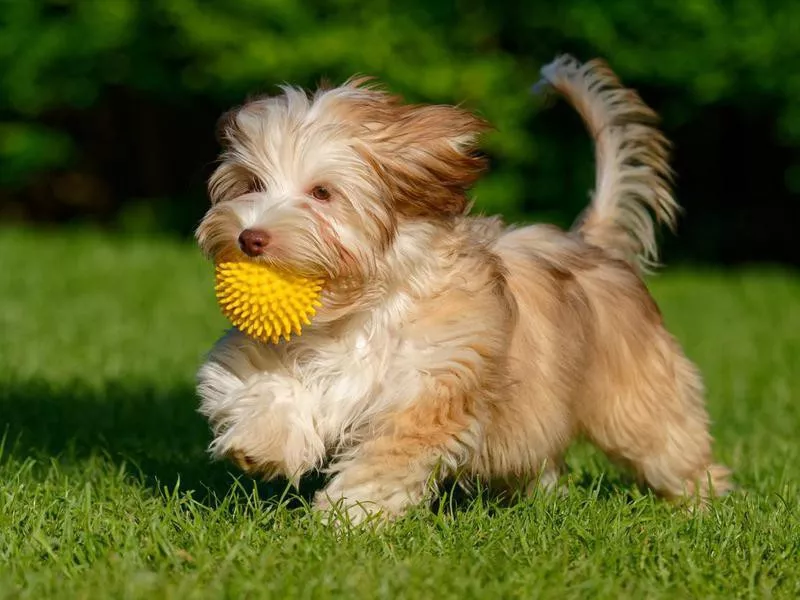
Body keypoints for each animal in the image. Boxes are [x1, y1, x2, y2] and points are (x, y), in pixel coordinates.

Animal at [194, 57, 732, 524]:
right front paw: (261, 442)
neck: (358, 308)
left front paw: (348, 518)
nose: (250, 237)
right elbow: (258, 382)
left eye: (322, 193)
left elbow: (386, 458)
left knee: (668, 443)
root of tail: (592, 244)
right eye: (252, 184)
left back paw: (701, 504)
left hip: (636, 395)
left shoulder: (432, 384)